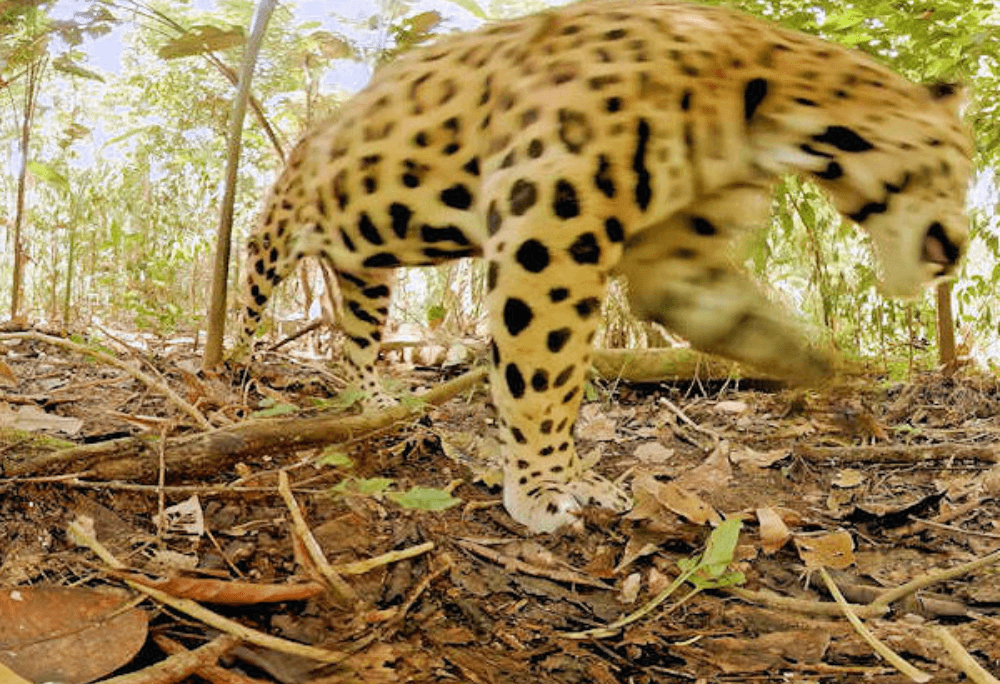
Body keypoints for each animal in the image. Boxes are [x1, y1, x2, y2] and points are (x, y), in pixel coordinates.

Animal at [234, 0, 972, 533]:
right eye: (962, 166)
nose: (963, 248)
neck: (769, 110)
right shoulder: (549, 224)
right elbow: (545, 372)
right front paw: (548, 486)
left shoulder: (675, 255)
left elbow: (738, 318)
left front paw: (822, 372)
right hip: (276, 230)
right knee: (252, 287)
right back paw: (237, 365)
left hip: (367, 265)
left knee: (356, 335)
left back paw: (375, 400)